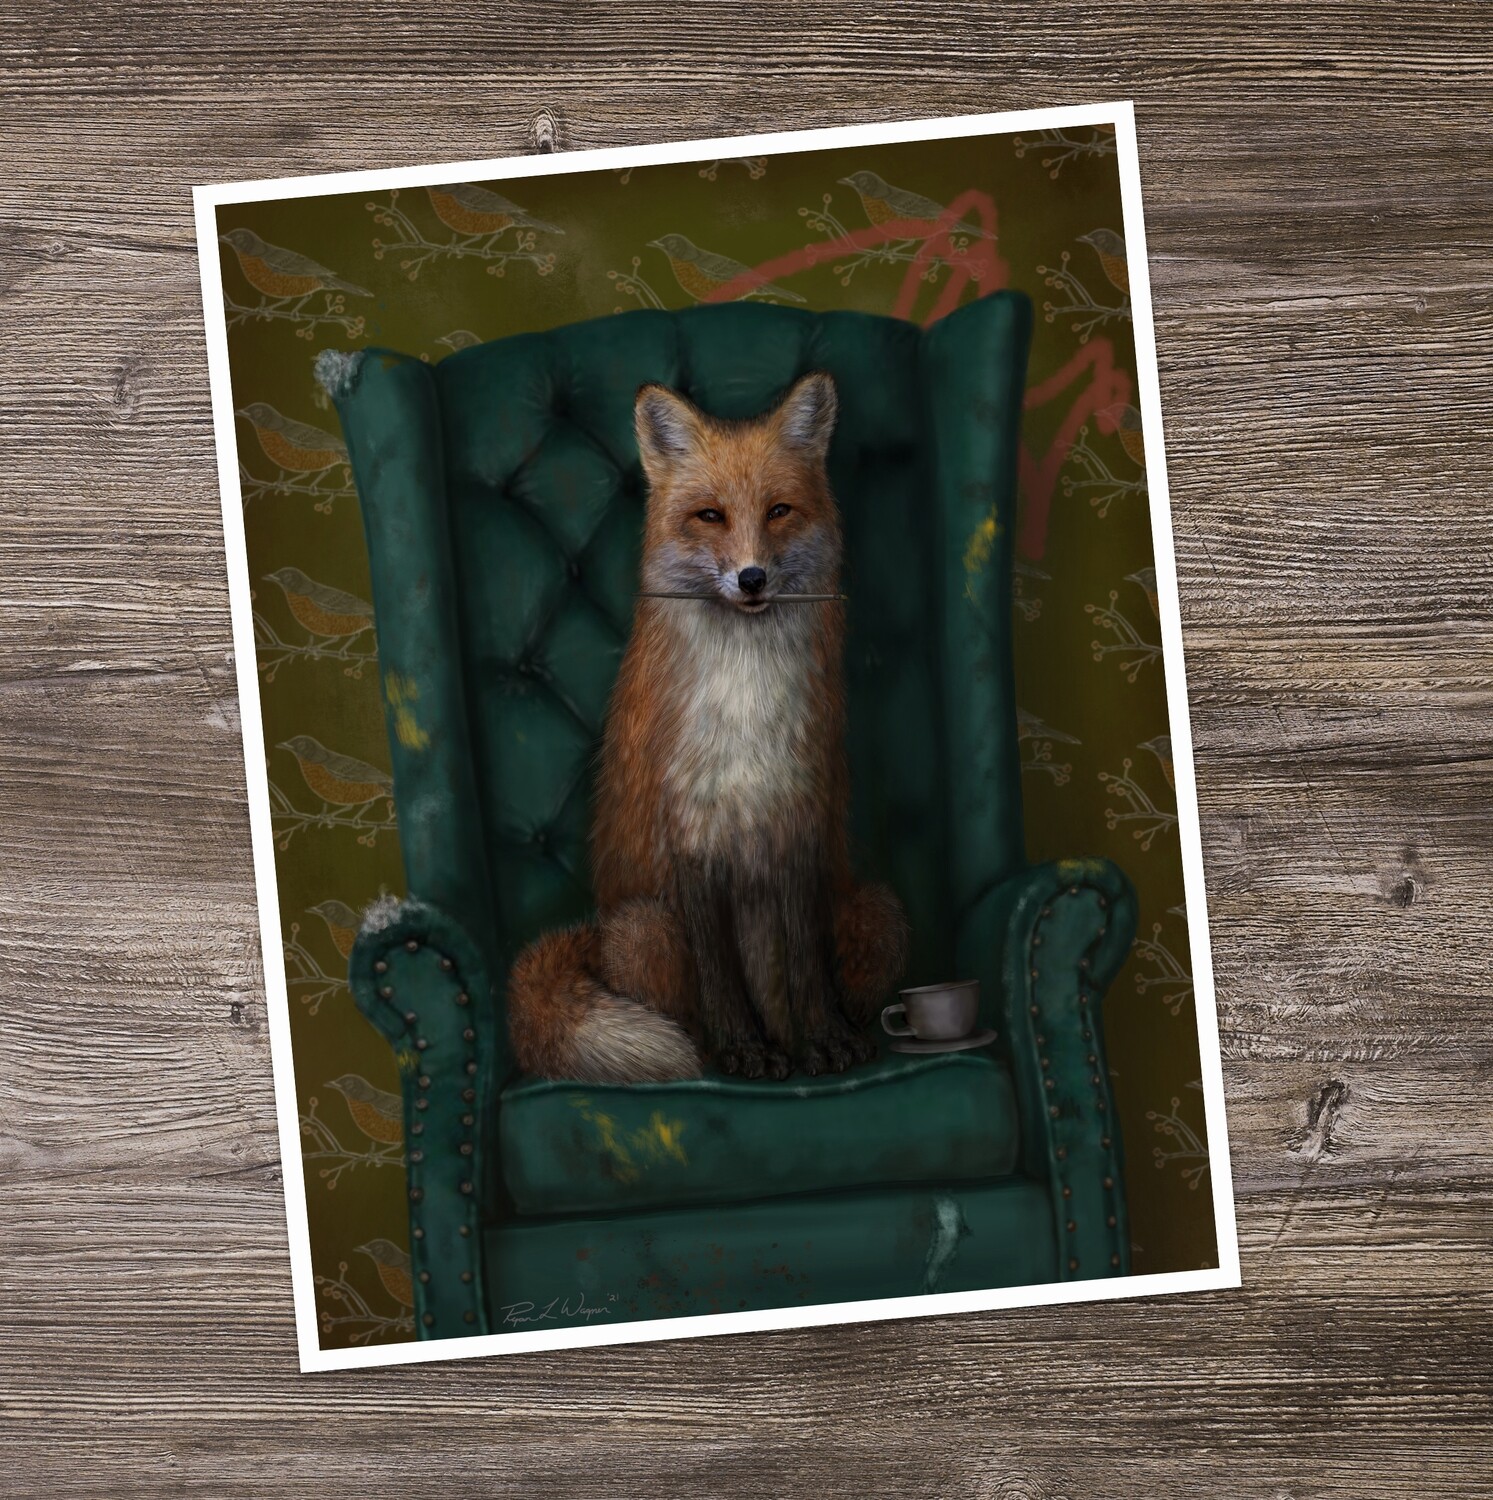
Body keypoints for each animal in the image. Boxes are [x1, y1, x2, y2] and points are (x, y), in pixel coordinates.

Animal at [507, 370, 908, 1083]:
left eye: (778, 511)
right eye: (711, 516)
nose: (751, 577)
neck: (744, 709)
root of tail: (594, 935)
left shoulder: (796, 828)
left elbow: (806, 966)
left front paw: (825, 1040)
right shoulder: (693, 842)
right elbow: (720, 976)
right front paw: (744, 1049)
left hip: (878, 913)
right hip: (645, 928)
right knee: (685, 1015)